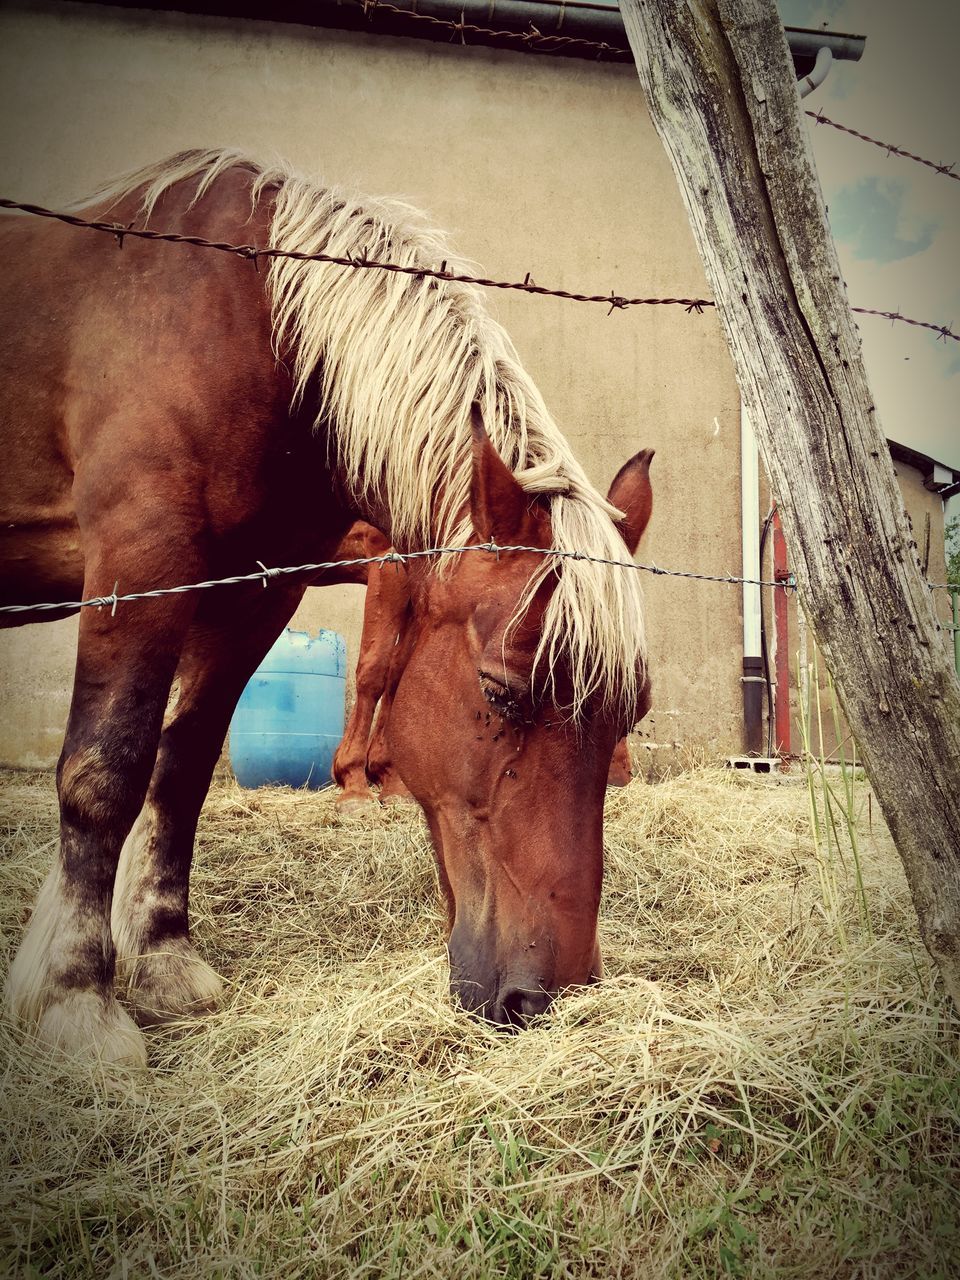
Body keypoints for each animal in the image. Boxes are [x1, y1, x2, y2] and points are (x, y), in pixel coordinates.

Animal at [1, 149, 655, 1059]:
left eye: (632, 713)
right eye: (500, 694)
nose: (550, 999)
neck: (256, 327)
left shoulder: (253, 591)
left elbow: (182, 767)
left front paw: (164, 964)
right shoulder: (141, 562)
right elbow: (104, 773)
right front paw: (75, 1002)